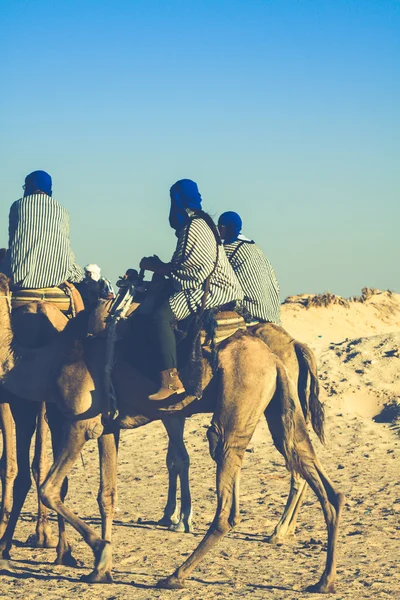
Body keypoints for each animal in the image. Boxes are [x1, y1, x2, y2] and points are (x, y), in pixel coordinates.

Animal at [0, 276, 344, 596]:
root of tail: (276, 356)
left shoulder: (78, 423)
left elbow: (49, 489)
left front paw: (100, 549)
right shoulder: (107, 426)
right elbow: (106, 495)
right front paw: (100, 570)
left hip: (238, 402)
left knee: (227, 499)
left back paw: (176, 575)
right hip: (280, 408)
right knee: (316, 474)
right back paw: (324, 580)